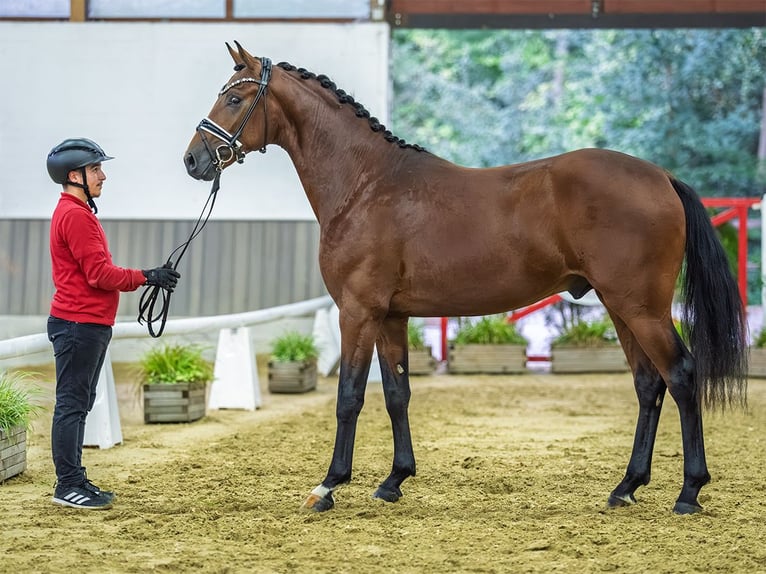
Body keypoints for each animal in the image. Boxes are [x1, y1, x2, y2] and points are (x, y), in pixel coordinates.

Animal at [183, 42, 747, 515]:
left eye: (234, 98)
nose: (193, 159)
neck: (365, 185)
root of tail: (661, 177)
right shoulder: (390, 317)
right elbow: (396, 393)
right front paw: (394, 481)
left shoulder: (358, 311)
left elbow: (349, 397)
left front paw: (328, 486)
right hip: (621, 307)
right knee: (649, 385)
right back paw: (626, 486)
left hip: (641, 308)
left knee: (682, 376)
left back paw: (689, 492)